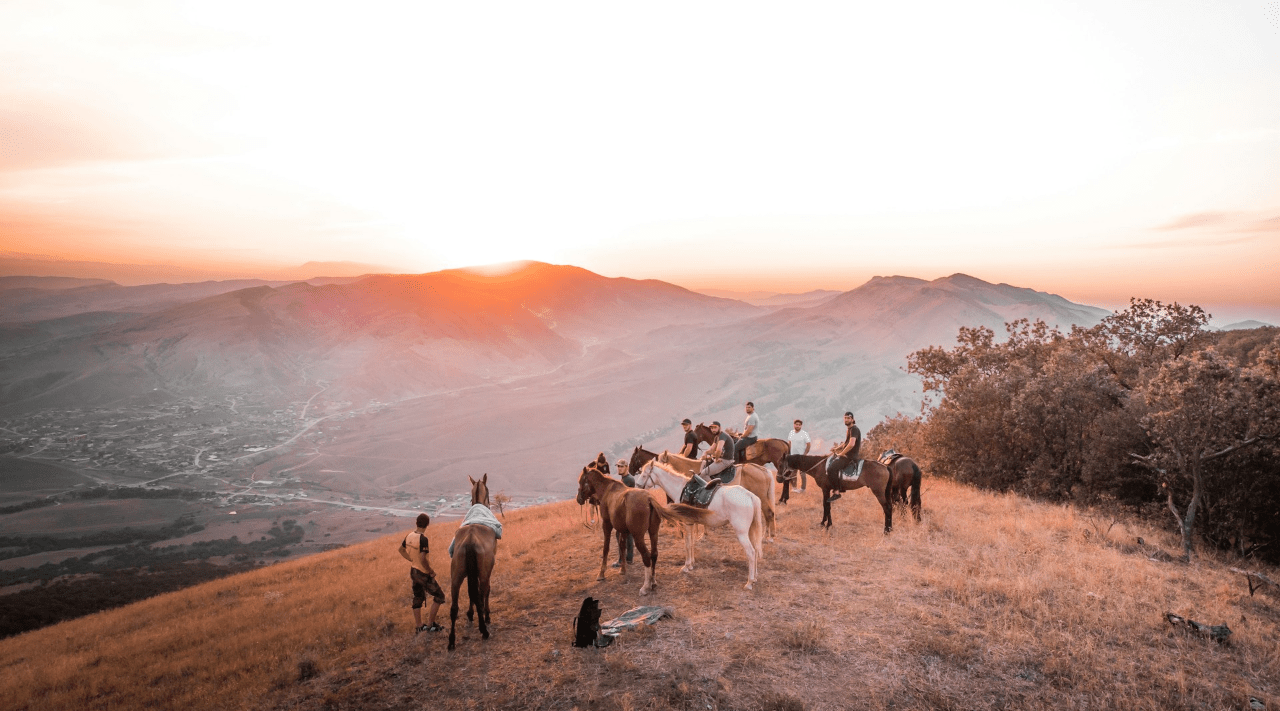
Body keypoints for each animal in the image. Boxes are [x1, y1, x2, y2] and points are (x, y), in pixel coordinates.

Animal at [445, 476, 494, 653]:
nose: (489, 504)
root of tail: (470, 540)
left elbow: (471, 591)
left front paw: (470, 613)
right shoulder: (486, 571)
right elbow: (483, 591)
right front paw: (486, 616)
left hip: (456, 576)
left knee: (454, 608)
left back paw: (451, 641)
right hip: (484, 572)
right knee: (482, 591)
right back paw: (484, 629)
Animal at [576, 456, 665, 594]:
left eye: (581, 481)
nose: (578, 499)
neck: (607, 490)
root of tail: (649, 499)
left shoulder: (607, 525)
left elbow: (606, 548)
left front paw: (601, 573)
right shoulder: (623, 530)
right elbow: (622, 546)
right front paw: (623, 569)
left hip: (638, 537)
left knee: (646, 556)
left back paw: (646, 586)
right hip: (653, 533)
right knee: (654, 554)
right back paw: (653, 581)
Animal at [637, 458, 762, 591]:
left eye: (644, 474)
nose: (638, 486)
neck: (680, 488)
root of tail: (750, 495)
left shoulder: (686, 524)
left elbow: (687, 545)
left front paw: (686, 566)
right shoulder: (691, 524)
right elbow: (691, 544)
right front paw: (691, 564)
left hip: (741, 533)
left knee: (751, 552)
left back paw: (749, 582)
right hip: (750, 531)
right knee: (755, 550)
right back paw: (755, 577)